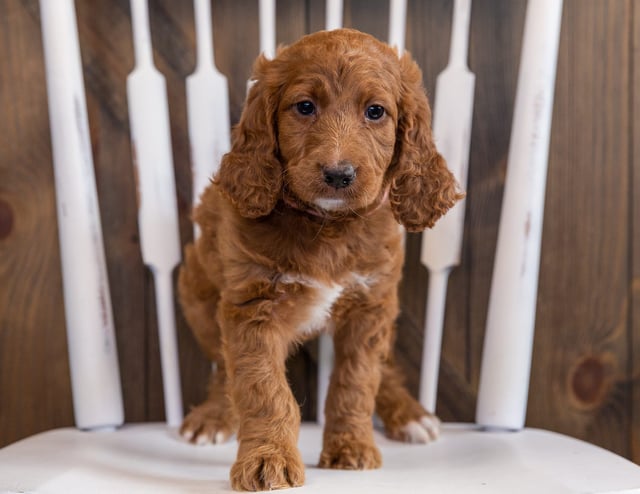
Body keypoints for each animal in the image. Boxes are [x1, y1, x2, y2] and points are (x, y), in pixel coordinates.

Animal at [178, 29, 462, 490]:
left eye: (375, 111)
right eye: (305, 107)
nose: (338, 174)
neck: (328, 225)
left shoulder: (370, 305)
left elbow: (357, 380)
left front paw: (352, 447)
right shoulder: (252, 307)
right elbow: (263, 388)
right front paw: (267, 460)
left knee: (384, 368)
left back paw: (410, 414)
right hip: (196, 293)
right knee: (222, 366)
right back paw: (215, 416)